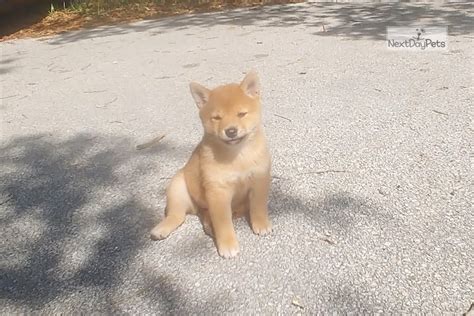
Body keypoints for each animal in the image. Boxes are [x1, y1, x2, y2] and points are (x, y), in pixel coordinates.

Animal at [150, 70, 272, 258]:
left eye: (241, 114)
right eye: (217, 118)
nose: (231, 131)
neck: (238, 156)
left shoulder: (259, 179)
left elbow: (258, 206)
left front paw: (261, 224)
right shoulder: (217, 191)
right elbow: (223, 223)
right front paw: (227, 244)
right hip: (177, 188)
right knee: (177, 215)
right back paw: (161, 229)